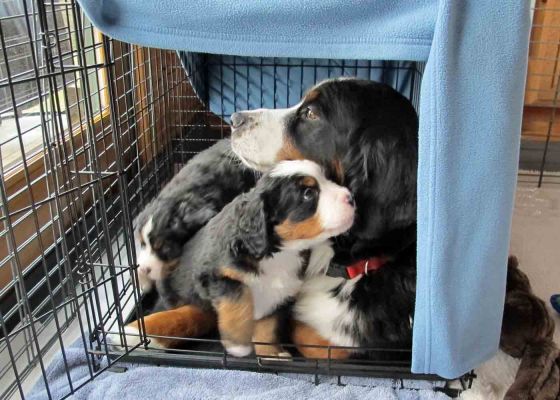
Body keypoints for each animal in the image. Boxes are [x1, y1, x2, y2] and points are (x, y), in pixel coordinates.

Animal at [116, 159, 354, 356]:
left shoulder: (281, 293)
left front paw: (273, 354)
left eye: (329, 179)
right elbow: (237, 306)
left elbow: (268, 328)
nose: (350, 197)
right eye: (308, 193)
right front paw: (237, 345)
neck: (278, 252)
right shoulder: (218, 276)